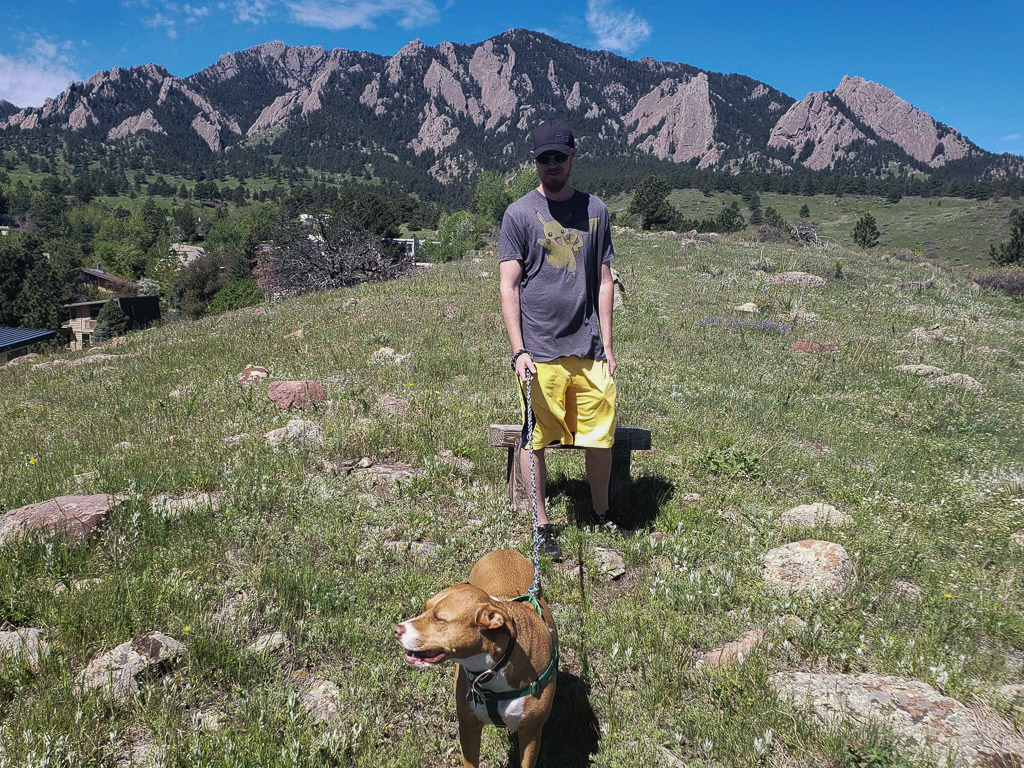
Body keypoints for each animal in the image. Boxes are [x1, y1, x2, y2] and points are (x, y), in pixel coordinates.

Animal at [391, 548, 557, 765]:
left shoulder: (531, 734)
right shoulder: (468, 727)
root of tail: (502, 550)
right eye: (425, 608)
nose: (396, 629)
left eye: (439, 619)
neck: (494, 669)